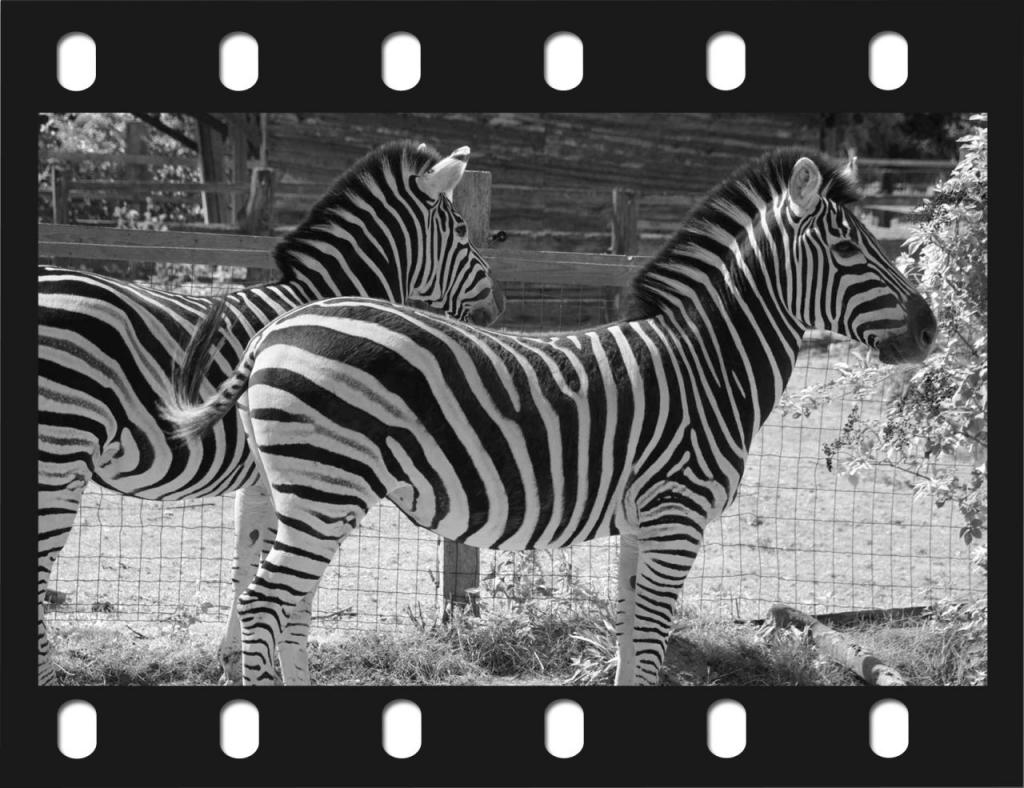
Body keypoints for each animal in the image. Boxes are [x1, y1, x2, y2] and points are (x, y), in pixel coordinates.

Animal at [37, 141, 504, 686]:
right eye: (461, 231)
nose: (498, 308)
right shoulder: (303, 469)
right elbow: (276, 577)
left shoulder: (262, 476)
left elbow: (245, 564)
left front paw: (230, 660)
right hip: (61, 452)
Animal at [165, 149, 936, 685]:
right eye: (848, 248)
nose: (930, 330)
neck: (709, 364)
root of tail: (277, 326)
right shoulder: (677, 516)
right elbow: (650, 642)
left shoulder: (643, 522)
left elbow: (629, 638)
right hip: (324, 487)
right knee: (267, 604)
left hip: (304, 491)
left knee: (288, 604)